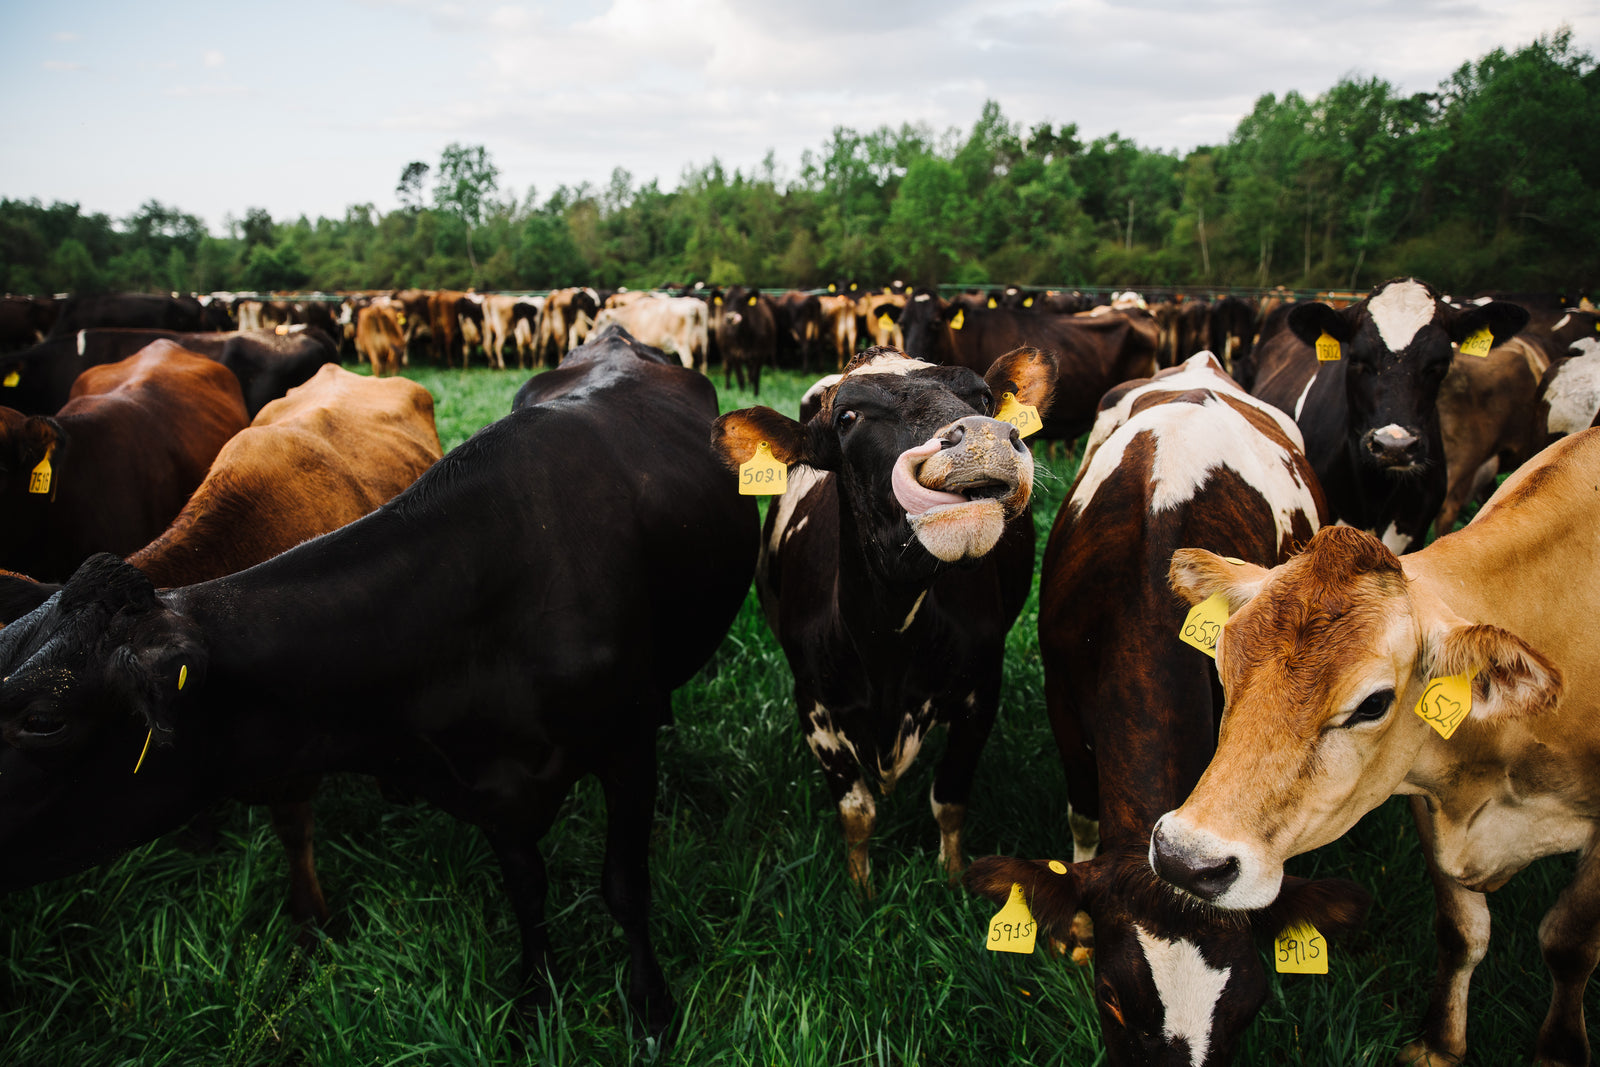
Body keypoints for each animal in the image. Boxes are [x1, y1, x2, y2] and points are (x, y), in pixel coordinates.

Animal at [712, 345, 1056, 890]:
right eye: (847, 417)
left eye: (983, 397)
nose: (985, 437)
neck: (887, 644)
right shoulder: (814, 705)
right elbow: (857, 813)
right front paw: (861, 890)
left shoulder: (982, 691)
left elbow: (949, 799)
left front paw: (953, 877)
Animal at [1149, 428, 1600, 1066]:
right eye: (1223, 660)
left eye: (1373, 704)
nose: (1185, 860)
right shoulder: (1427, 805)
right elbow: (1460, 931)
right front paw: (1439, 1043)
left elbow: (1569, 943)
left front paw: (1559, 1051)